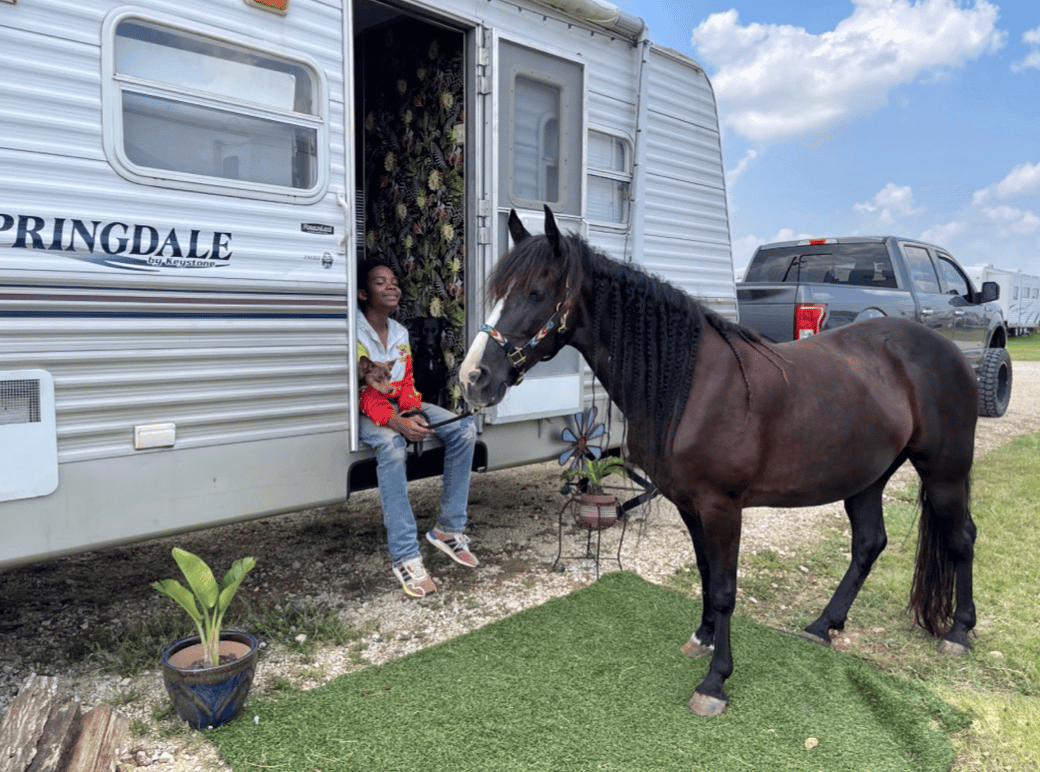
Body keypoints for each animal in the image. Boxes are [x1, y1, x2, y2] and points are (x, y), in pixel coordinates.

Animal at [459, 207, 977, 719]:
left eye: (536, 292)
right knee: (869, 543)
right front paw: (703, 638)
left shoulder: (722, 507)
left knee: (961, 538)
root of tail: (947, 348)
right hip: (866, 477)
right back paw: (823, 625)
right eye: (498, 292)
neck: (692, 385)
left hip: (945, 472)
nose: (472, 378)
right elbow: (706, 572)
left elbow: (726, 588)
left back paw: (958, 632)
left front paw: (715, 682)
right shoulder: (689, 503)